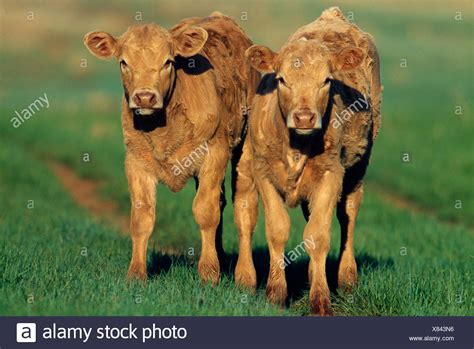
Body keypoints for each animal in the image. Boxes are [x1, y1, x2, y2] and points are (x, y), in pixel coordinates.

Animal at [83, 12, 258, 282]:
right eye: (123, 62)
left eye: (168, 62)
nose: (145, 97)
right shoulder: (135, 161)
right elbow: (142, 217)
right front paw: (136, 274)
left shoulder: (214, 153)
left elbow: (205, 212)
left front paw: (208, 273)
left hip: (245, 149)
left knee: (244, 209)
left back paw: (245, 277)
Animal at [235, 6, 384, 314]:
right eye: (282, 79)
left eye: (326, 80)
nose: (304, 117)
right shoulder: (263, 172)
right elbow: (277, 230)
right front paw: (276, 294)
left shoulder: (331, 174)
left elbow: (318, 235)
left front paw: (321, 300)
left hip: (358, 169)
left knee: (348, 215)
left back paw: (347, 278)